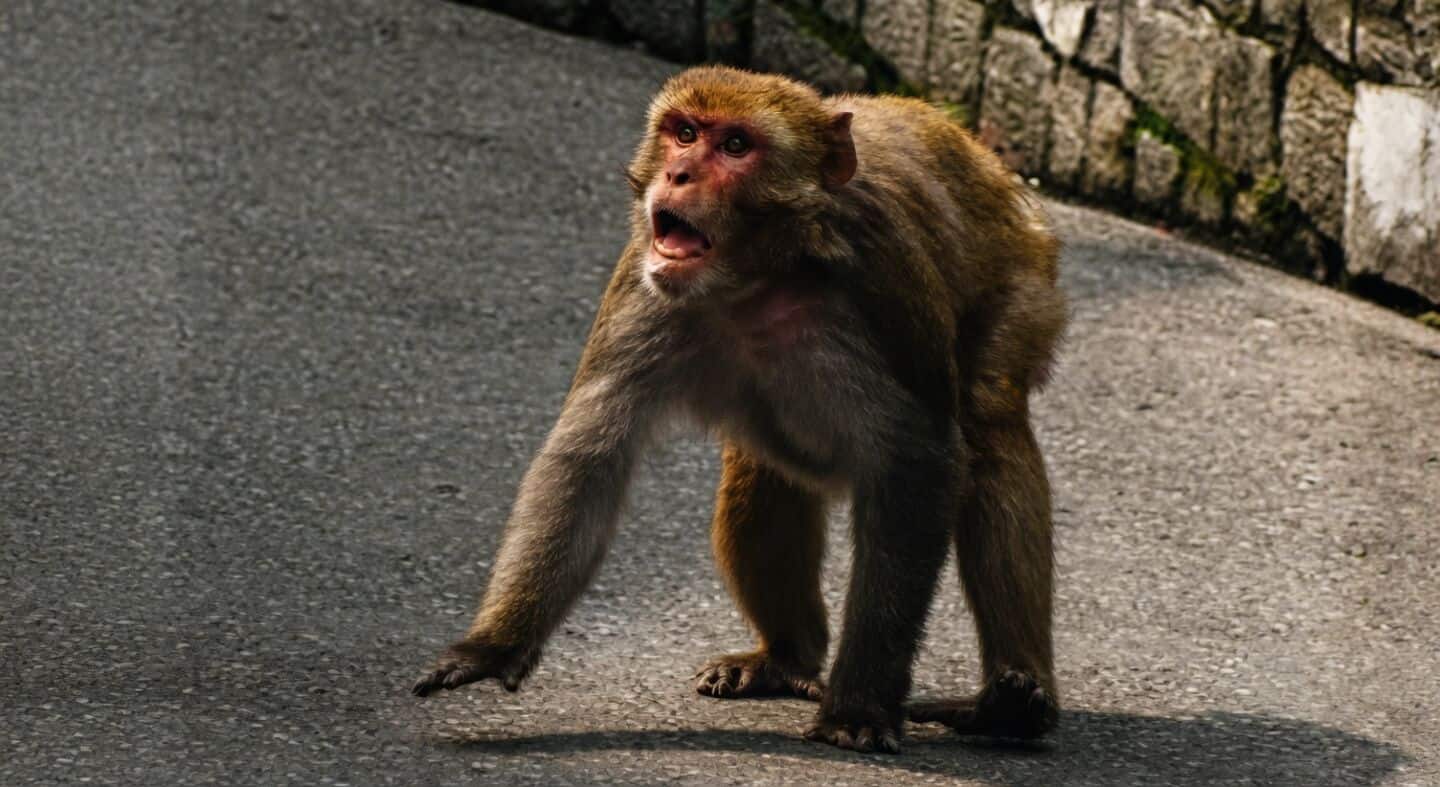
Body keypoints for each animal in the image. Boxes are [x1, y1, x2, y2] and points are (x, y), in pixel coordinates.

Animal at [413, 65, 1067, 754]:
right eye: (684, 134)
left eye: (734, 146)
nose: (678, 175)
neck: (759, 279)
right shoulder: (643, 287)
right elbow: (589, 458)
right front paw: (493, 646)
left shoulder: (886, 283)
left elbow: (920, 466)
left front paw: (859, 704)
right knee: (765, 470)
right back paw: (787, 657)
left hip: (1024, 279)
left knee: (989, 427)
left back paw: (1014, 700)